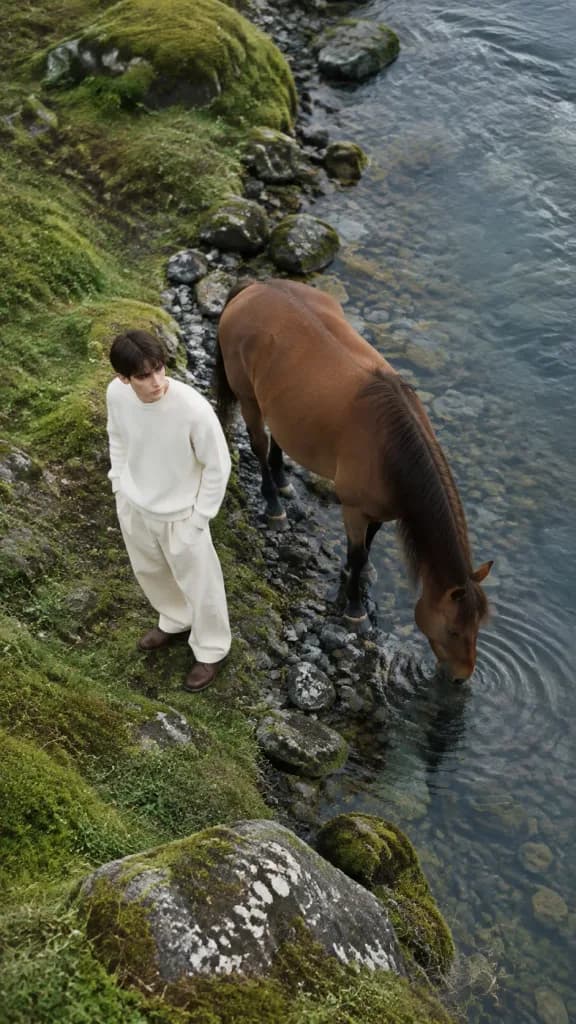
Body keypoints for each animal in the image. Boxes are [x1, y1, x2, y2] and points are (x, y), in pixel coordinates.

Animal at [215, 278, 493, 681]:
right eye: (454, 630)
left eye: (478, 628)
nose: (461, 677)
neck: (390, 445)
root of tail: (254, 286)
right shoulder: (355, 507)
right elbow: (360, 553)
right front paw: (355, 609)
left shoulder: (381, 510)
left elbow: (365, 548)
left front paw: (350, 575)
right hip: (248, 397)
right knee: (259, 444)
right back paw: (274, 503)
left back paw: (283, 481)